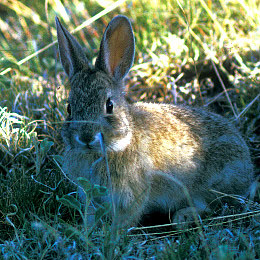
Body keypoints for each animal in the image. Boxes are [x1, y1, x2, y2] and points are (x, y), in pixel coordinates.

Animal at [55, 15, 254, 226]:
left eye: (109, 105)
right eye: (69, 108)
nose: (86, 137)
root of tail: (248, 166)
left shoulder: (130, 196)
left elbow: (125, 220)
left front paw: (113, 232)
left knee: (208, 205)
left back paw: (182, 217)